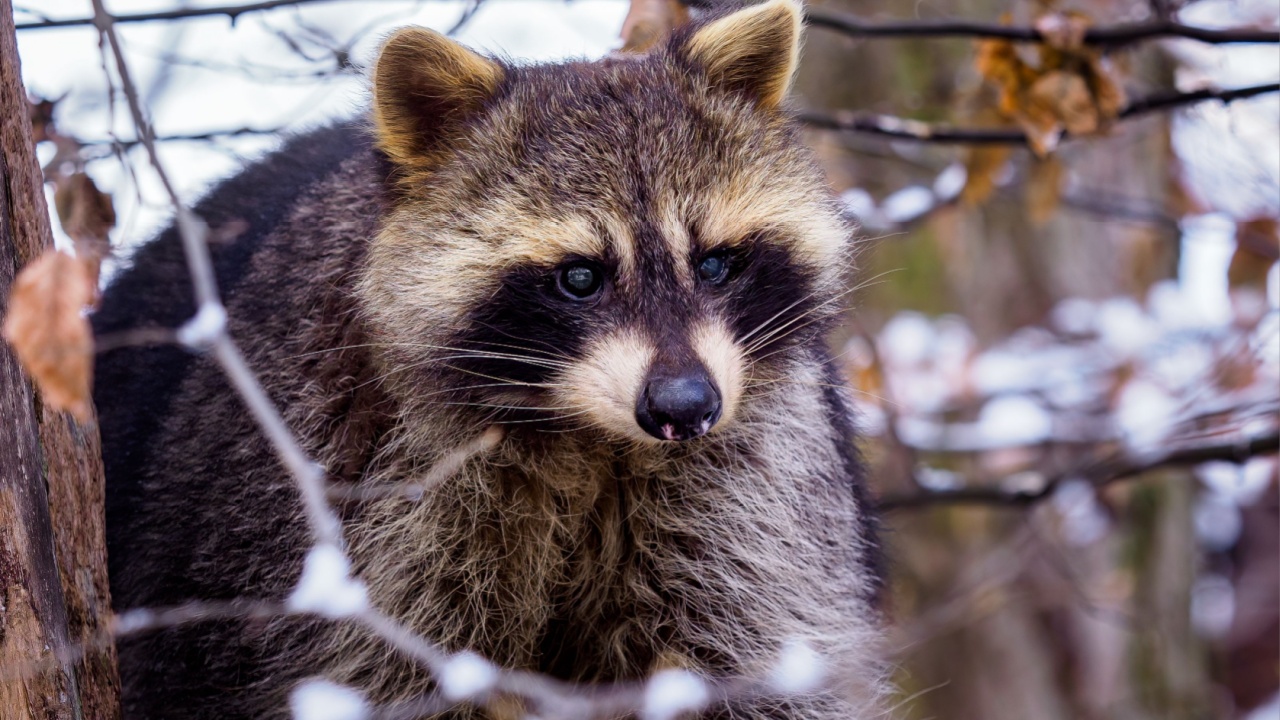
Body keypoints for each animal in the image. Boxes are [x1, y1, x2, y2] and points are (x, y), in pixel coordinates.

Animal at [92, 1, 886, 717]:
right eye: (579, 277)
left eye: (717, 263)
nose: (685, 408)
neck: (588, 437)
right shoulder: (342, 488)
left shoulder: (757, 490)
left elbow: (763, 667)